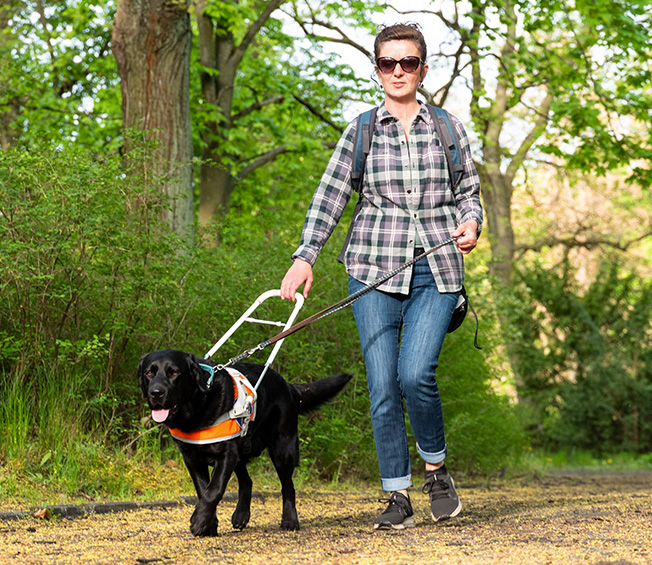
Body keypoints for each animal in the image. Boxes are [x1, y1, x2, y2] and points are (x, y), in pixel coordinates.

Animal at [138, 346, 352, 536]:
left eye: (174, 372)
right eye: (149, 373)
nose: (156, 392)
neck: (198, 408)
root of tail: (287, 385)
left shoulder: (226, 454)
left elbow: (213, 490)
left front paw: (199, 522)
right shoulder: (192, 459)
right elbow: (203, 490)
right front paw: (209, 525)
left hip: (283, 449)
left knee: (288, 486)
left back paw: (290, 521)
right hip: (242, 449)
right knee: (247, 481)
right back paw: (241, 515)